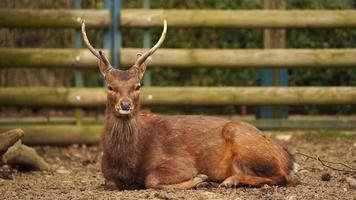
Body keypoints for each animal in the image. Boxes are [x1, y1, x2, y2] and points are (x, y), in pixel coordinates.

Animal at [80, 19, 298, 190]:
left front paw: (201, 179)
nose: (125, 105)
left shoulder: (181, 162)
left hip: (246, 142)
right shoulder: (107, 175)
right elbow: (111, 183)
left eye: (138, 85)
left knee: (284, 177)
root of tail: (289, 158)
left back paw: (231, 180)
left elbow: (152, 179)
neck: (129, 163)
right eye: (110, 86)